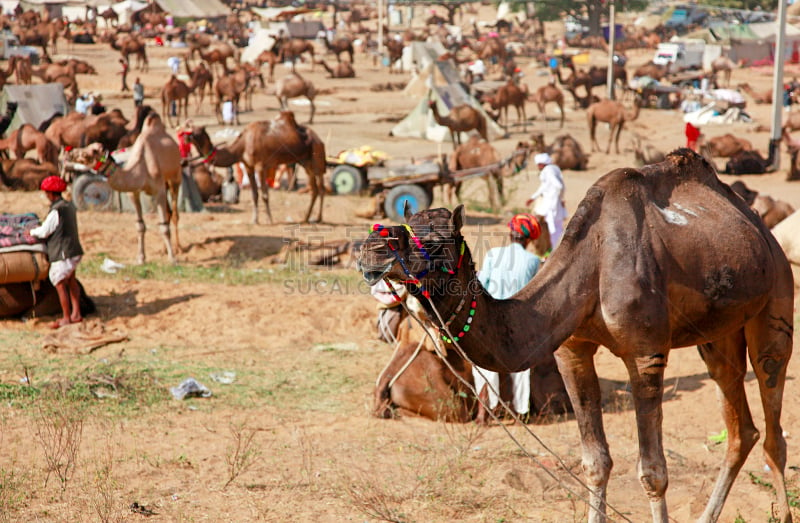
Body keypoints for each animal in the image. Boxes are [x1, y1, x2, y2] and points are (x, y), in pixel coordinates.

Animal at [97, 112, 182, 264]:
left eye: (94, 153)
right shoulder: (133, 192)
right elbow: (140, 225)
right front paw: (141, 258)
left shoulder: (159, 190)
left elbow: (164, 226)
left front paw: (173, 259)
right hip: (165, 184)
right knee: (168, 213)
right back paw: (164, 249)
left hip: (174, 178)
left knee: (174, 214)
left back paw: (178, 248)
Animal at [186, 111, 326, 224]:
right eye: (190, 131)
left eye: (194, 132)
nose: (186, 137)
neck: (242, 145)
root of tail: (319, 139)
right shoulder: (248, 166)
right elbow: (254, 194)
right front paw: (254, 220)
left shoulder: (260, 166)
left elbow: (264, 194)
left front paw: (269, 220)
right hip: (306, 163)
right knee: (315, 189)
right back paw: (307, 218)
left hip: (317, 159)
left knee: (321, 187)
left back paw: (317, 218)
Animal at [360, 147, 792, 523]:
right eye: (406, 225)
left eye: (435, 243)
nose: (371, 248)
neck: (593, 260)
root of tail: (761, 229)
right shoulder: (572, 350)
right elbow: (595, 462)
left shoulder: (646, 353)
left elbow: (654, 472)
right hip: (718, 334)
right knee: (741, 427)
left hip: (775, 302)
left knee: (773, 422)